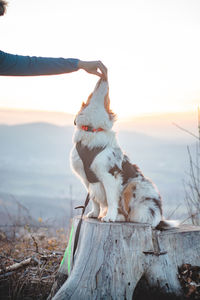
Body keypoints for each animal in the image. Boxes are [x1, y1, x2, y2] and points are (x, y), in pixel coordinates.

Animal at [70, 78, 178, 229]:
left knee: (133, 216)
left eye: (108, 97)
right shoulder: (87, 179)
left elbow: (111, 199)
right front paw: (94, 213)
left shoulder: (110, 175)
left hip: (134, 185)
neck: (92, 130)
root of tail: (158, 218)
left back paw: (118, 217)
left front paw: (109, 217)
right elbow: (93, 199)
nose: (103, 78)